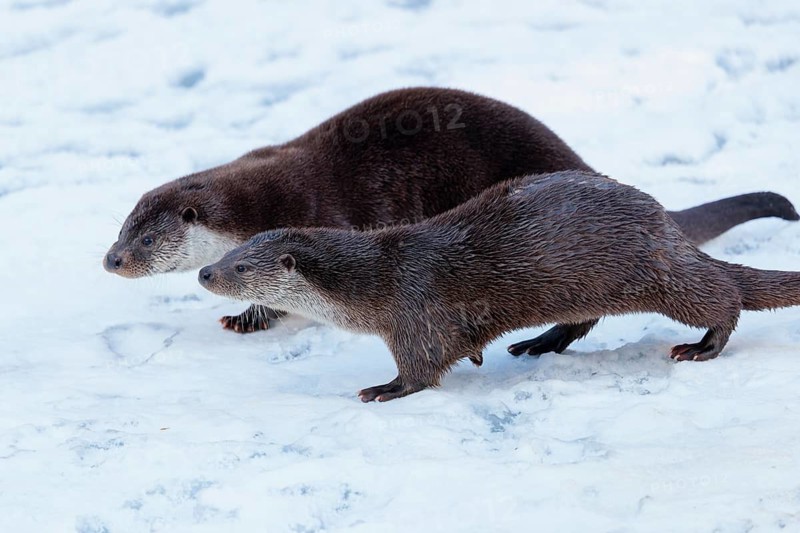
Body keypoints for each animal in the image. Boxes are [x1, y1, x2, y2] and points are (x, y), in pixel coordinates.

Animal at [104, 87, 799, 337]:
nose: (110, 261)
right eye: (120, 228)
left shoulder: (318, 213)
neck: (251, 206)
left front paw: (251, 316)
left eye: (146, 242)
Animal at [198, 171, 800, 402]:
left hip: (652, 270)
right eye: (225, 253)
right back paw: (539, 342)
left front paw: (385, 388)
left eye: (240, 268)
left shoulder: (415, 311)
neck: (375, 278)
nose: (205, 273)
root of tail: (664, 223)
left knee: (722, 293)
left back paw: (701, 347)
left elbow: (422, 368)